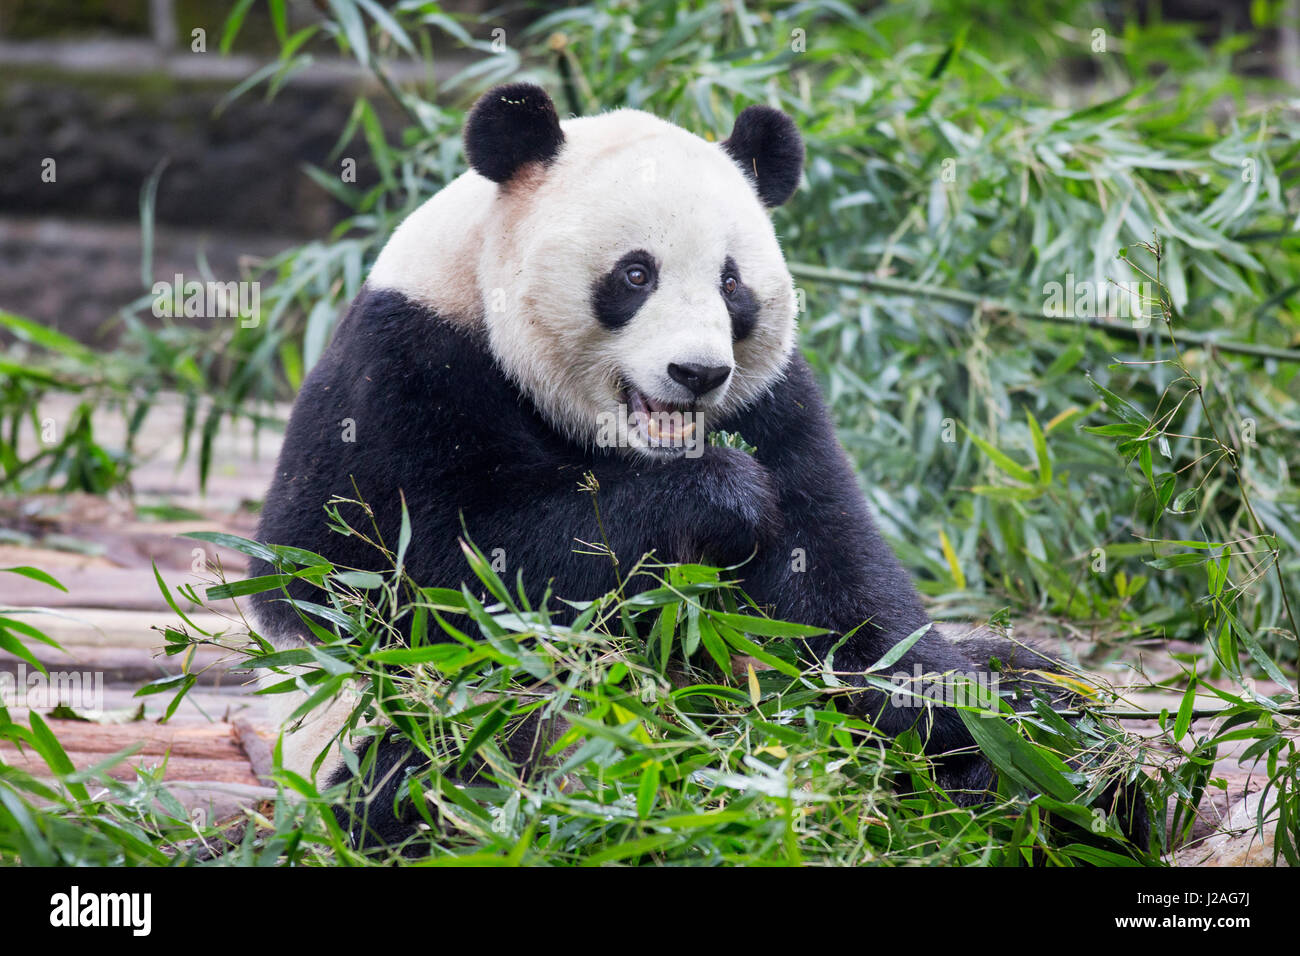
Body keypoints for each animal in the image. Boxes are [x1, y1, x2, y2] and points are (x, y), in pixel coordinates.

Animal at [249, 83, 1147, 851]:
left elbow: (838, 587)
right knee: (442, 757)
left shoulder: (774, 402)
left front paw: (991, 735)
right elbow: (417, 567)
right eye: (635, 273)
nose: (698, 373)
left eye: (731, 283)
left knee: (1025, 674)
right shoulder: (406, 368)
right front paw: (721, 497)